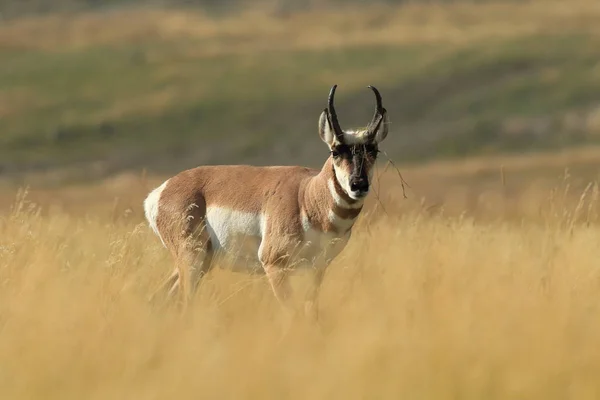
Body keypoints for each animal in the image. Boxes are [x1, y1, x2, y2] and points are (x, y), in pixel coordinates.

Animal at [145, 85, 390, 318]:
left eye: (374, 150)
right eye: (336, 151)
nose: (358, 184)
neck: (306, 196)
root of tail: (161, 191)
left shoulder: (316, 271)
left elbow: (310, 311)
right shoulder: (275, 267)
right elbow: (292, 313)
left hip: (200, 262)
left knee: (161, 296)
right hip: (192, 261)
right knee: (184, 303)